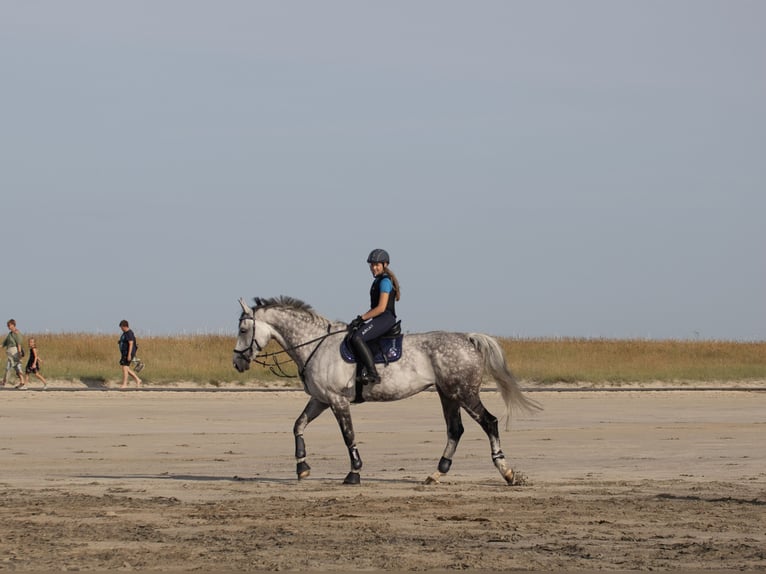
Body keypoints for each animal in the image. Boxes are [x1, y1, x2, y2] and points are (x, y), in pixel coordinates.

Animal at [232, 296, 540, 486]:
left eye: (244, 329)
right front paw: (302, 467)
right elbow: (298, 425)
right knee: (455, 430)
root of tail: (468, 338)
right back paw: (436, 474)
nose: (237, 362)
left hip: (464, 393)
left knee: (489, 422)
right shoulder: (320, 399)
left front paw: (354, 473)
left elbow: (348, 436)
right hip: (448, 394)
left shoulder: (336, 400)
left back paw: (507, 472)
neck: (315, 344)